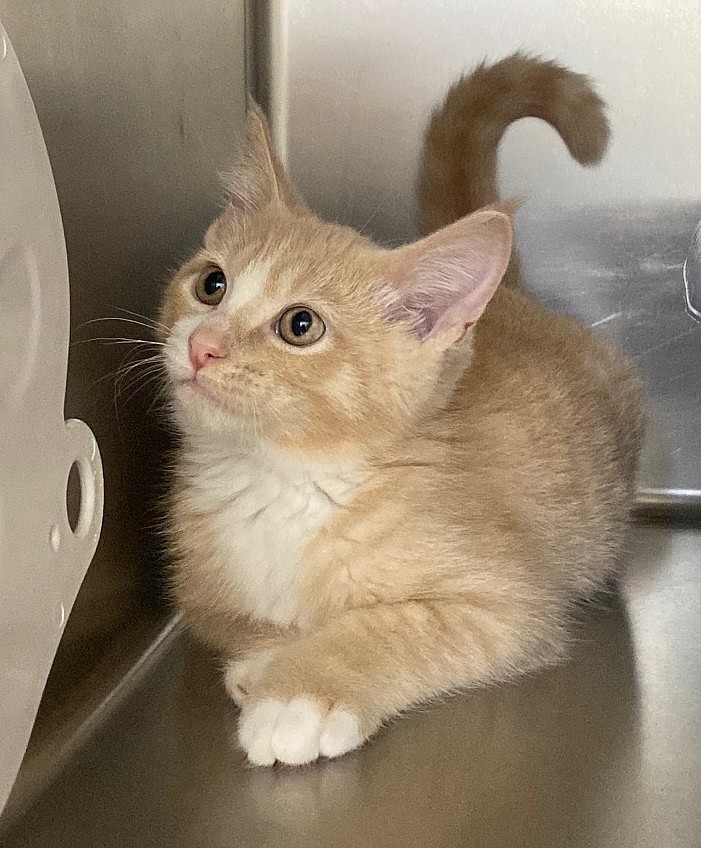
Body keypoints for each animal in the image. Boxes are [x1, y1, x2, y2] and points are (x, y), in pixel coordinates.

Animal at [160, 54, 644, 768]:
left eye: (300, 325)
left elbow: (391, 627)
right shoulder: (198, 591)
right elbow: (243, 623)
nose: (202, 345)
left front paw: (297, 694)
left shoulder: (511, 605)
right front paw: (266, 659)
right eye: (211, 284)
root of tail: (515, 297)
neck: (279, 479)